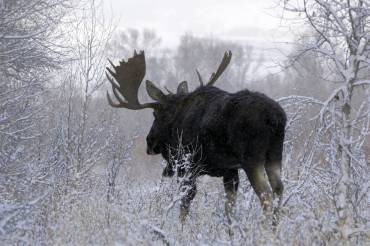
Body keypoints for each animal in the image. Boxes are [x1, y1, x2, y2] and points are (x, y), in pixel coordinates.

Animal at [105, 50, 288, 223]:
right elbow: (229, 209)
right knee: (279, 188)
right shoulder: (230, 170)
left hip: (252, 159)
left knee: (266, 194)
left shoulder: (186, 165)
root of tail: (276, 118)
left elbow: (185, 203)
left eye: (155, 114)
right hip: (275, 155)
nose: (149, 142)